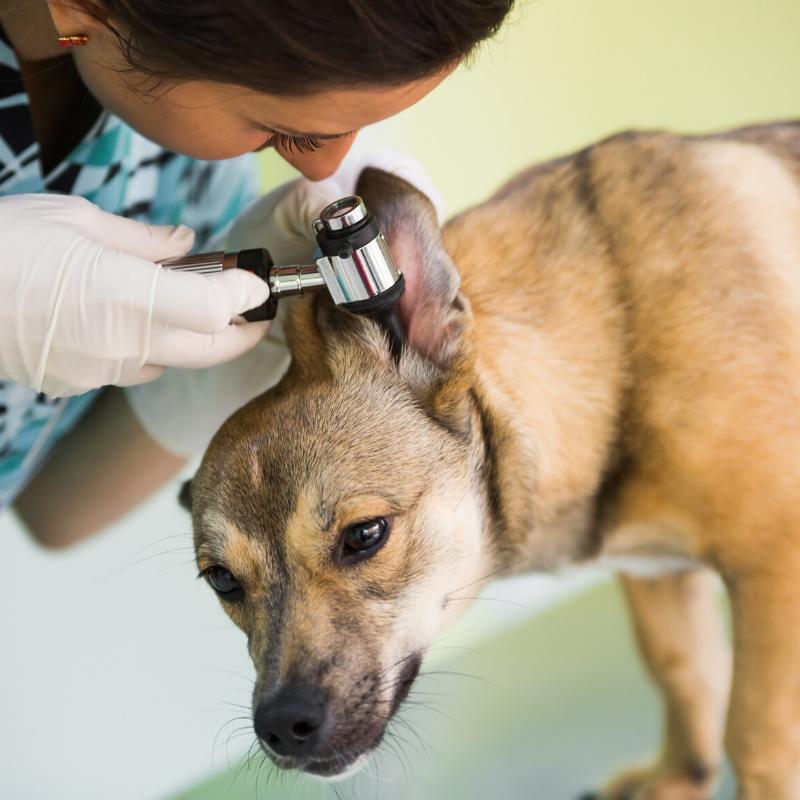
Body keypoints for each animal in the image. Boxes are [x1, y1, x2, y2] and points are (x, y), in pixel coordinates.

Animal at [181, 122, 800, 796]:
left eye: (365, 535)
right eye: (221, 580)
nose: (281, 727)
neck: (614, 344)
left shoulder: (774, 570)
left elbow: (755, 738)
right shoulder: (656, 572)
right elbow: (683, 668)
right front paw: (678, 777)